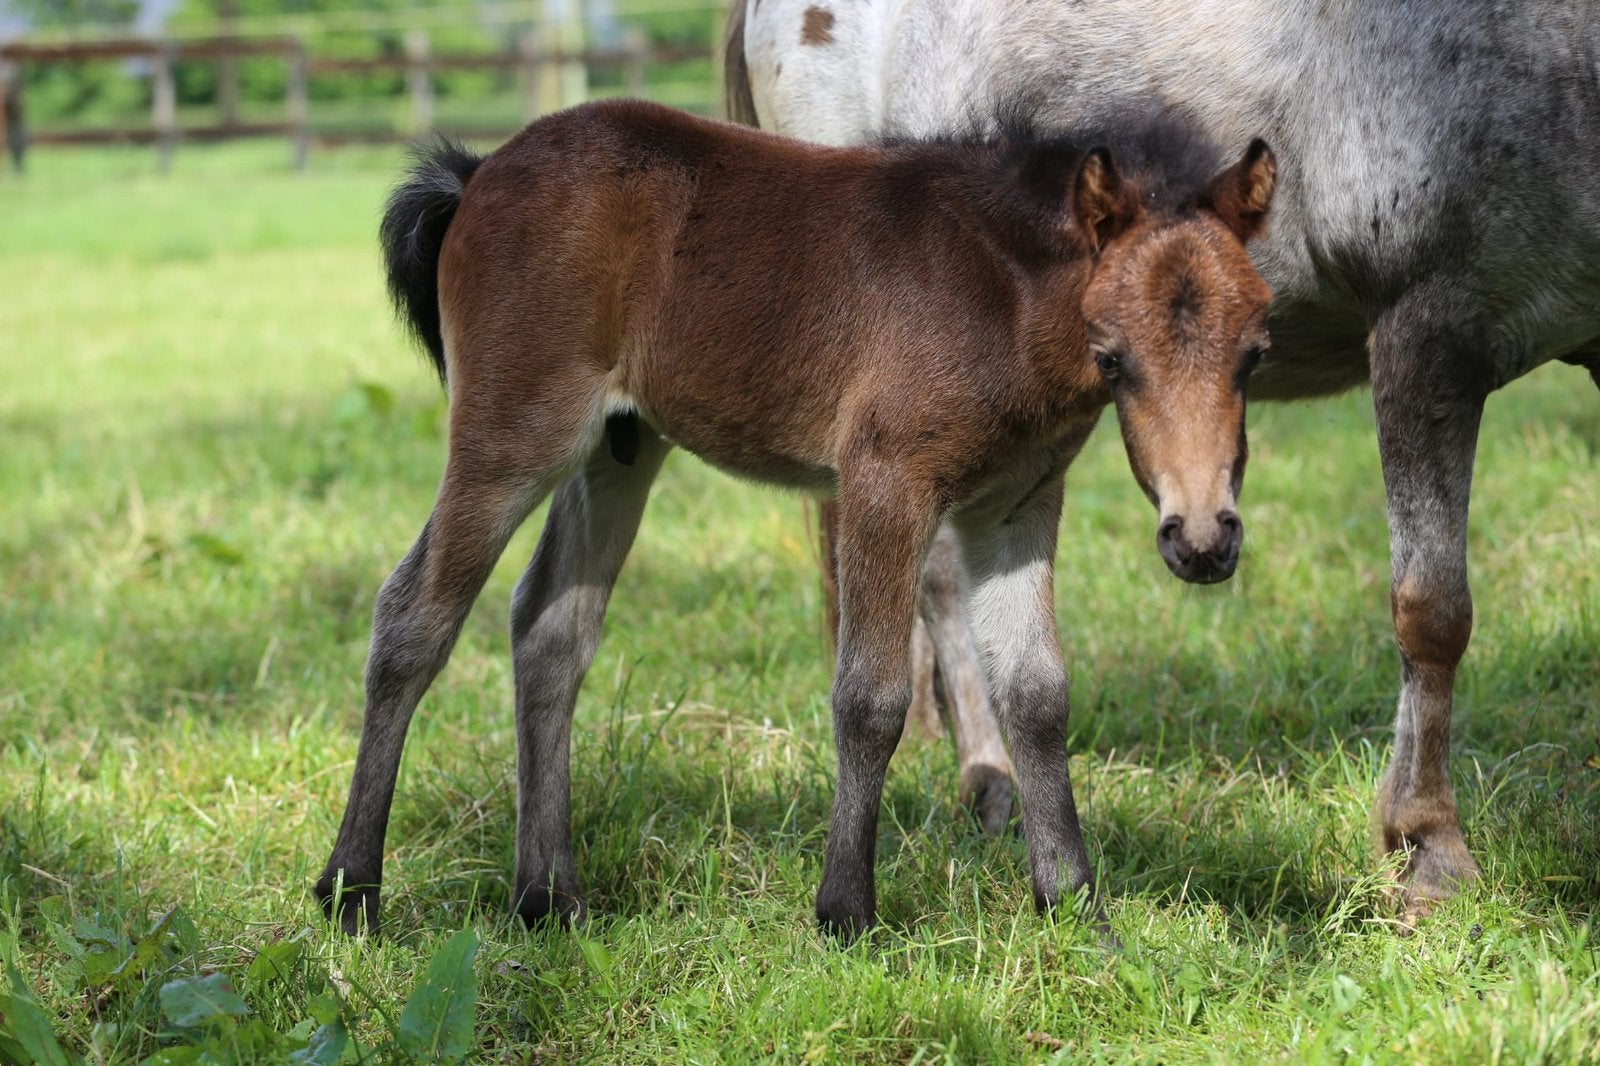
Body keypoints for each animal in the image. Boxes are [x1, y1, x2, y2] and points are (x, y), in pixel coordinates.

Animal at [313, 97, 1278, 937]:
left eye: (1254, 355)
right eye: (1114, 358)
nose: (1202, 539)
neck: (996, 294)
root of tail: (478, 172)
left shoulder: (1017, 507)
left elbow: (1037, 694)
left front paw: (1078, 909)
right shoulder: (885, 481)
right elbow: (871, 697)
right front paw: (846, 912)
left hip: (618, 450)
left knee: (551, 632)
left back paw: (549, 898)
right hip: (512, 435)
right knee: (413, 618)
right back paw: (352, 892)